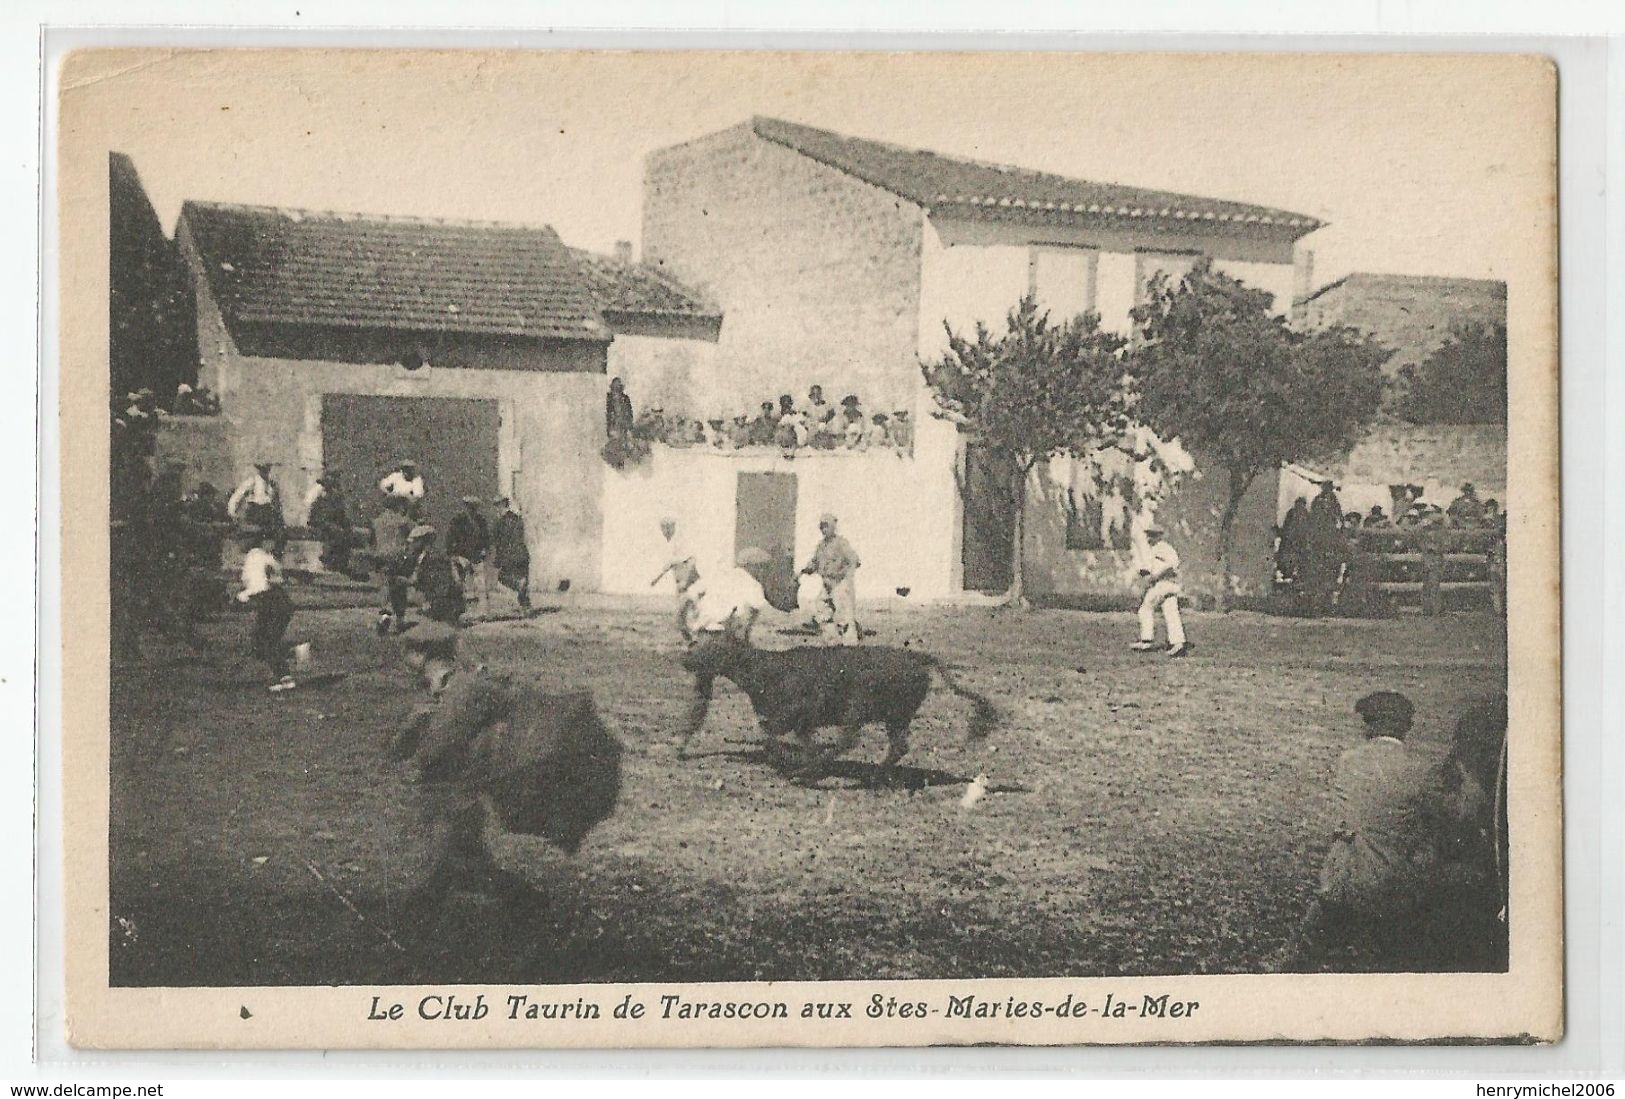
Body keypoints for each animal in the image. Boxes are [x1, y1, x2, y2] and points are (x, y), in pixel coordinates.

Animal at [679, 634, 994, 780]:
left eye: (712, 647)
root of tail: (918, 657)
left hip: (858, 708)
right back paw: (873, 775)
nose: (685, 660)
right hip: (897, 717)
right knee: (898, 746)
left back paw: (812, 773)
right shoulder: (798, 721)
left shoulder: (795, 713)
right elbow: (794, 739)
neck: (767, 669)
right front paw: (796, 760)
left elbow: (772, 736)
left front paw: (793, 765)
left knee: (849, 740)